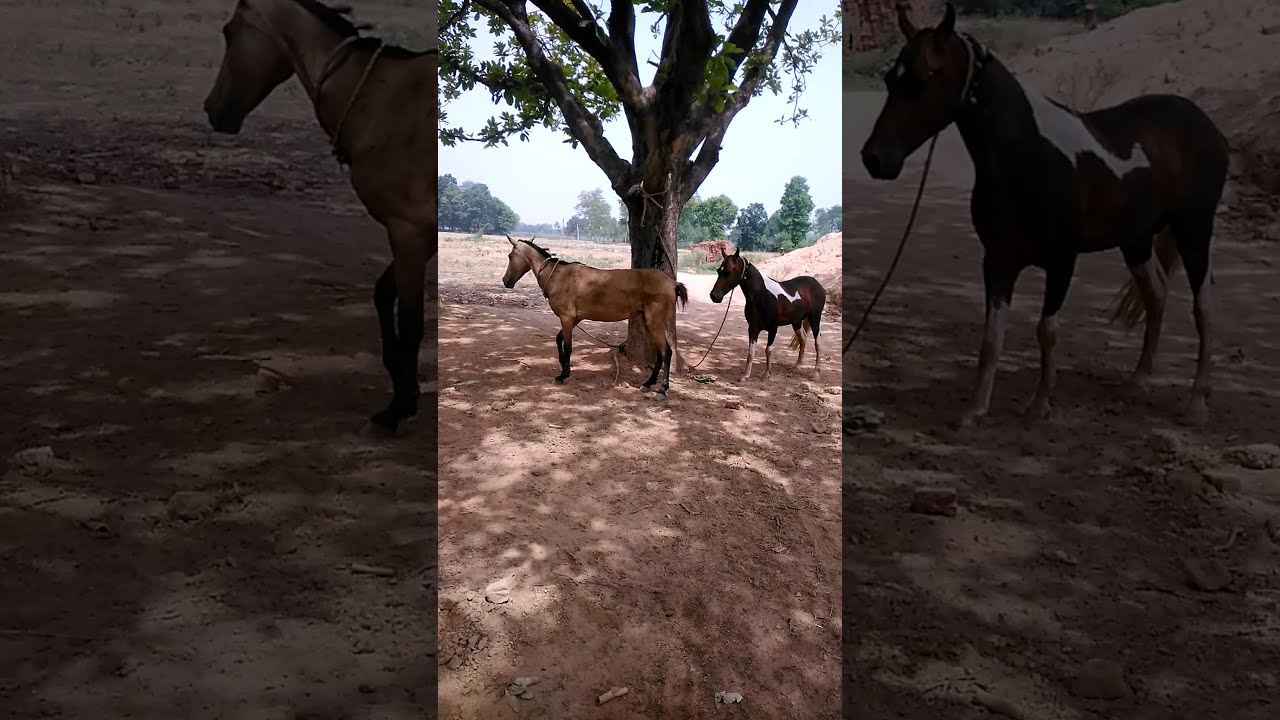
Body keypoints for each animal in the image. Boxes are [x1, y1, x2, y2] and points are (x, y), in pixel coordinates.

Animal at [202, 0, 437, 435]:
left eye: (228, 32)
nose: (212, 109)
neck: (382, 101)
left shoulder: (409, 231)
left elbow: (412, 324)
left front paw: (397, 408)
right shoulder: (419, 235)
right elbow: (383, 295)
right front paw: (404, 391)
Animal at [500, 236, 689, 401]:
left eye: (510, 256)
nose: (505, 281)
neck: (559, 276)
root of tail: (672, 283)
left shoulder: (567, 318)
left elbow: (568, 347)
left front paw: (563, 375)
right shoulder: (574, 319)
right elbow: (558, 339)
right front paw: (563, 367)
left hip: (655, 323)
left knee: (667, 353)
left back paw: (662, 389)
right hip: (650, 324)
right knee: (660, 354)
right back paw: (648, 383)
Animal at [709, 247, 826, 381]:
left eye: (730, 269)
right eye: (719, 270)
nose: (714, 296)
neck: (762, 295)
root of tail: (818, 285)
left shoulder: (773, 328)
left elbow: (768, 350)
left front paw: (766, 374)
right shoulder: (753, 328)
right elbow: (751, 353)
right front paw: (745, 376)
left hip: (815, 319)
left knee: (818, 343)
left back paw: (816, 373)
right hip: (796, 322)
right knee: (803, 339)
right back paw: (797, 366)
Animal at [860, 2, 1229, 427]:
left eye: (922, 79)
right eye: (890, 78)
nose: (874, 158)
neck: (1030, 156)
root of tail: (1204, 123)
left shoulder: (1062, 260)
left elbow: (1046, 329)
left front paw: (1039, 405)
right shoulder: (998, 259)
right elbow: (992, 337)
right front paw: (975, 410)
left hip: (1194, 230)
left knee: (1204, 307)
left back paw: (1197, 402)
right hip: (1136, 239)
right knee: (1156, 294)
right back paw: (1138, 381)